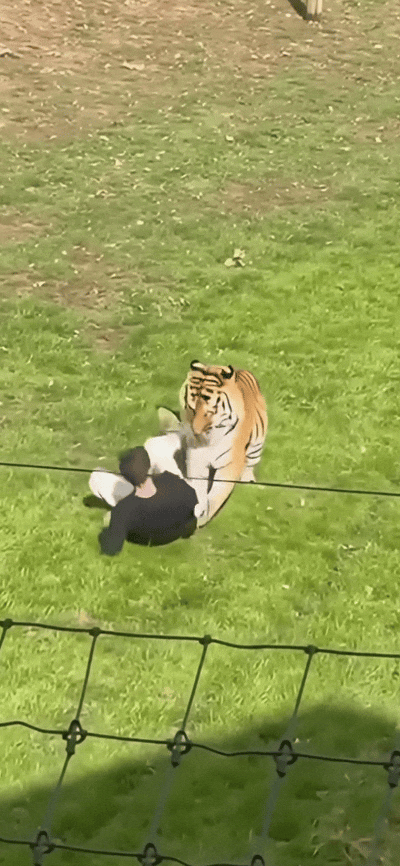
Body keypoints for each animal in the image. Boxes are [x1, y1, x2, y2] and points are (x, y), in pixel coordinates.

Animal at [145, 360, 267, 528]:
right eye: (191, 408)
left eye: (210, 411)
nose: (195, 431)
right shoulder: (196, 458)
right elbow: (198, 487)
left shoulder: (230, 464)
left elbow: (217, 494)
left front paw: (203, 518)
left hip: (256, 445)